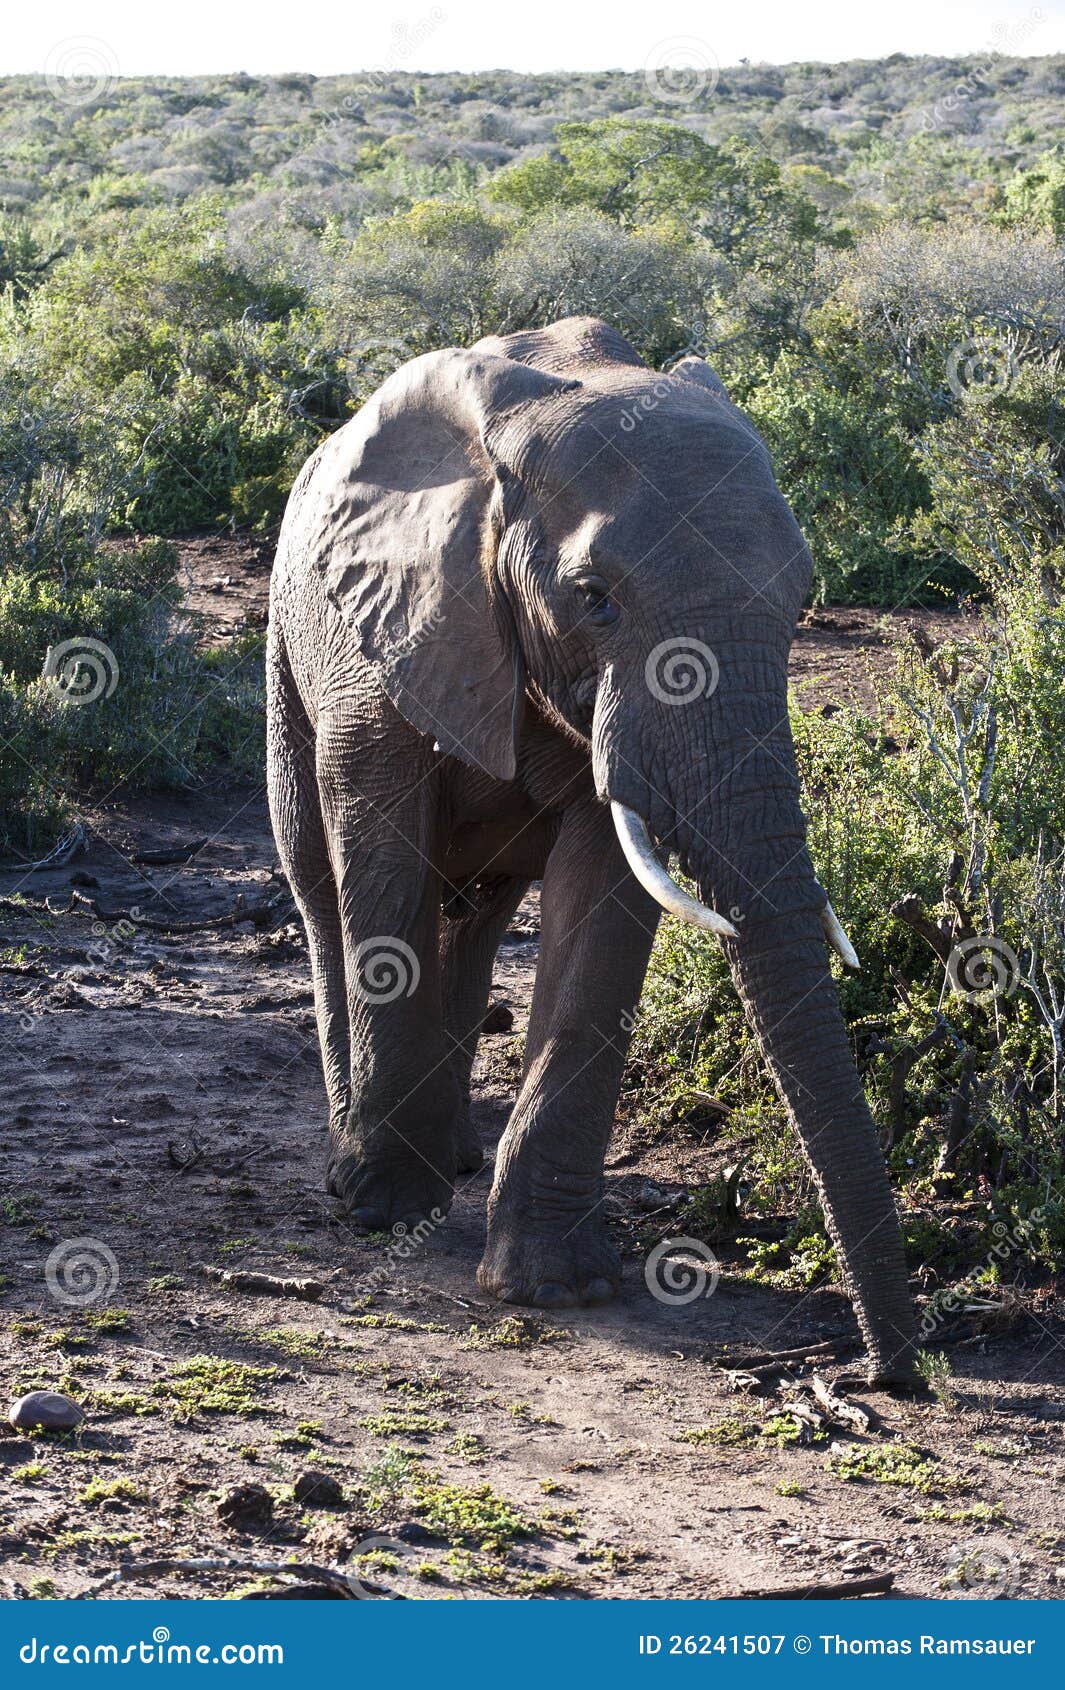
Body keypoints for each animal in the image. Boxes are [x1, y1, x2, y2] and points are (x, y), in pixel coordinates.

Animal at [265, 317, 919, 1385]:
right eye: (592, 597)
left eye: (797, 601)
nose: (889, 1374)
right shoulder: (385, 636)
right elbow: (382, 861)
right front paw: (383, 1214)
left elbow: (604, 902)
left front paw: (558, 1288)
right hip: (286, 651)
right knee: (323, 886)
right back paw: (359, 1163)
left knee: (479, 913)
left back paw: (453, 1156)